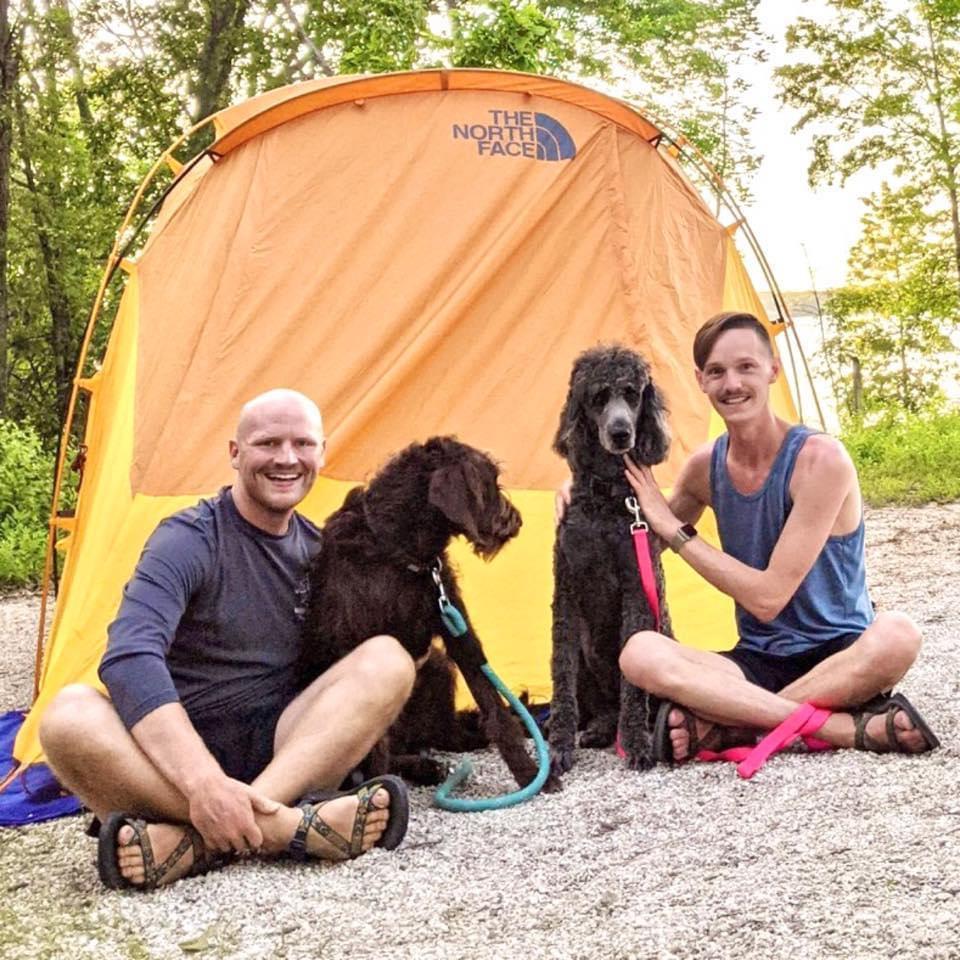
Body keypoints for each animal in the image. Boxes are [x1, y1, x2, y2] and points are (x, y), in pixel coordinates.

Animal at [302, 436, 540, 788]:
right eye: (489, 482)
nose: (516, 520)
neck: (401, 554)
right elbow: (377, 749)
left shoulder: (459, 632)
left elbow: (494, 707)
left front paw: (531, 776)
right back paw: (417, 767)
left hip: (438, 668)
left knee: (450, 737)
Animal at [552, 346, 672, 780]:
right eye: (598, 396)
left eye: (633, 394)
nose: (621, 433)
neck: (606, 496)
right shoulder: (566, 591)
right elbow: (561, 678)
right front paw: (558, 748)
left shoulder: (636, 589)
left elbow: (632, 691)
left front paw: (635, 743)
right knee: (599, 705)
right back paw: (600, 729)